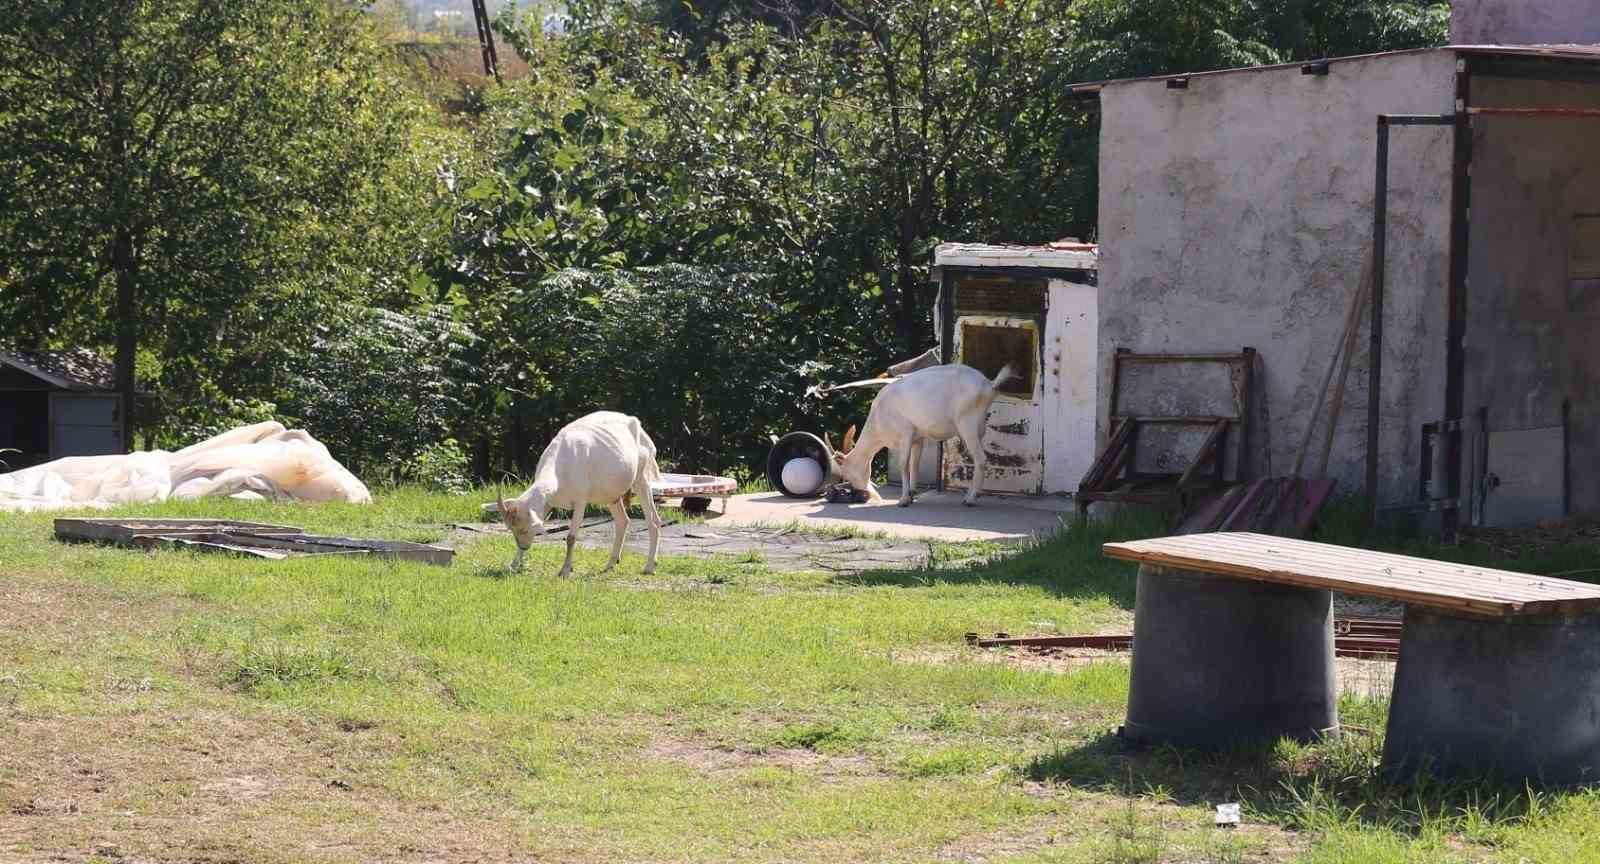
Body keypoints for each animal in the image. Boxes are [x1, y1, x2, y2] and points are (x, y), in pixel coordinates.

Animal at [489, 409, 659, 572]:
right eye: (512, 529)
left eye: (524, 530)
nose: (524, 546)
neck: (563, 464)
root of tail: (636, 423)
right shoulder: (547, 502)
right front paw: (512, 565)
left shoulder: (580, 500)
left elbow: (571, 537)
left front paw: (565, 570)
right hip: (611, 494)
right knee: (622, 521)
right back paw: (610, 565)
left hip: (642, 477)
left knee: (653, 520)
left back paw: (649, 567)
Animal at [838, 363, 1011, 505]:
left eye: (847, 474)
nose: (861, 494)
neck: (878, 416)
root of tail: (989, 385)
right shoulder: (918, 438)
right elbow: (915, 464)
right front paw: (912, 493)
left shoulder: (905, 434)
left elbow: (903, 464)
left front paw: (903, 500)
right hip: (979, 429)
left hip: (967, 426)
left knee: (981, 459)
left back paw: (970, 499)